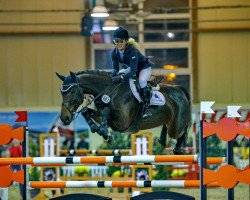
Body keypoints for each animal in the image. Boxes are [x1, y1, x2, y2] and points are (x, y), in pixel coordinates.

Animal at [56, 70, 192, 155]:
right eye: (61, 93)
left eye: (72, 91)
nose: (64, 118)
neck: (109, 91)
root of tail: (178, 89)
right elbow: (86, 111)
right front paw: (101, 132)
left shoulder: (123, 122)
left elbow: (106, 111)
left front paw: (104, 131)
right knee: (168, 126)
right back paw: (163, 139)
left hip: (176, 127)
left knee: (181, 132)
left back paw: (178, 149)